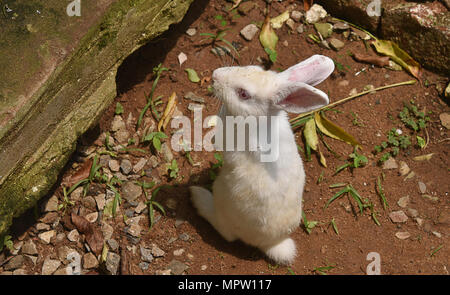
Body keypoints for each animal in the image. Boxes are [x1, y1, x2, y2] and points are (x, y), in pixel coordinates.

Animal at [188, 55, 332, 266]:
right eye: (254, 67)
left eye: (243, 94)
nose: (215, 76)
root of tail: (273, 243)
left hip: (221, 198)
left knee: (225, 231)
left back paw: (198, 196)